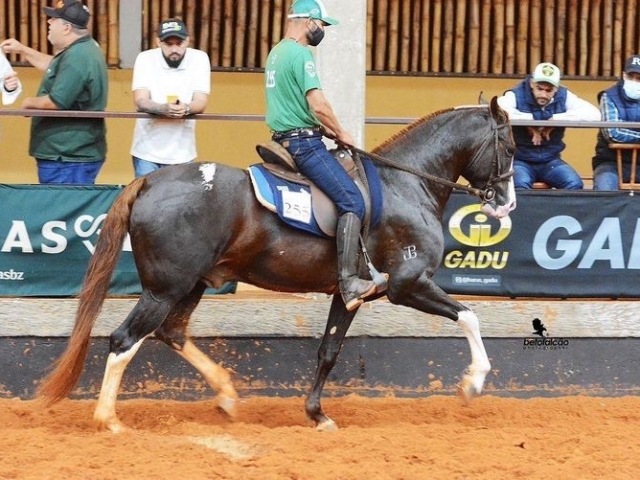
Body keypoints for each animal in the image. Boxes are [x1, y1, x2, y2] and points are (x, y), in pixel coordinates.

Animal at [36, 96, 516, 432]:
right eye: (510, 147)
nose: (507, 203)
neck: (405, 183)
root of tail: (150, 179)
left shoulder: (350, 295)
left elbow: (328, 352)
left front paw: (317, 414)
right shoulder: (408, 283)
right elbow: (469, 316)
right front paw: (473, 383)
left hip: (191, 284)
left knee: (172, 333)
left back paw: (227, 394)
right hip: (164, 288)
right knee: (124, 340)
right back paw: (109, 420)